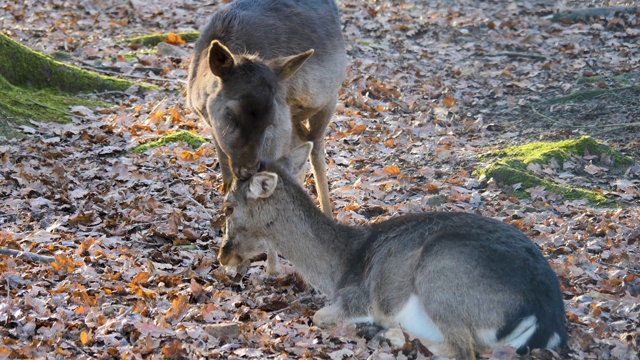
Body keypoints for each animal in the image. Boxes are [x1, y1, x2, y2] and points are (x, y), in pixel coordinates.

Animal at [218, 143, 568, 360]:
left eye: (228, 207)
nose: (223, 255)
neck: (339, 268)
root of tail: (547, 315)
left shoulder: (356, 297)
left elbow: (319, 316)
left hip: (441, 272)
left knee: (465, 350)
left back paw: (390, 334)